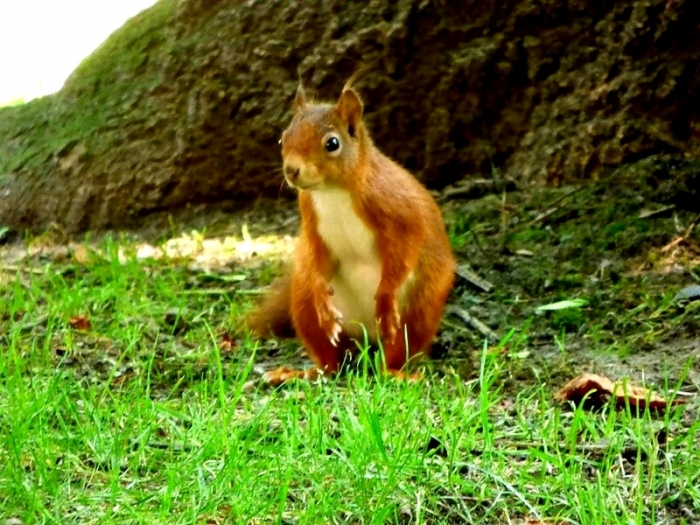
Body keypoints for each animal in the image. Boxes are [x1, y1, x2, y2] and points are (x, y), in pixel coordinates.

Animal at [246, 74, 456, 384]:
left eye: (332, 143)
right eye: (283, 138)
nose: (291, 171)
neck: (332, 191)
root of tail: (366, 338)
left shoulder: (400, 212)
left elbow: (404, 250)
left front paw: (385, 296)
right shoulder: (312, 224)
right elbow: (317, 256)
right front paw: (323, 297)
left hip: (418, 311)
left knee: (396, 351)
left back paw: (397, 373)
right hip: (305, 308)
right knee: (332, 360)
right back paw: (299, 372)